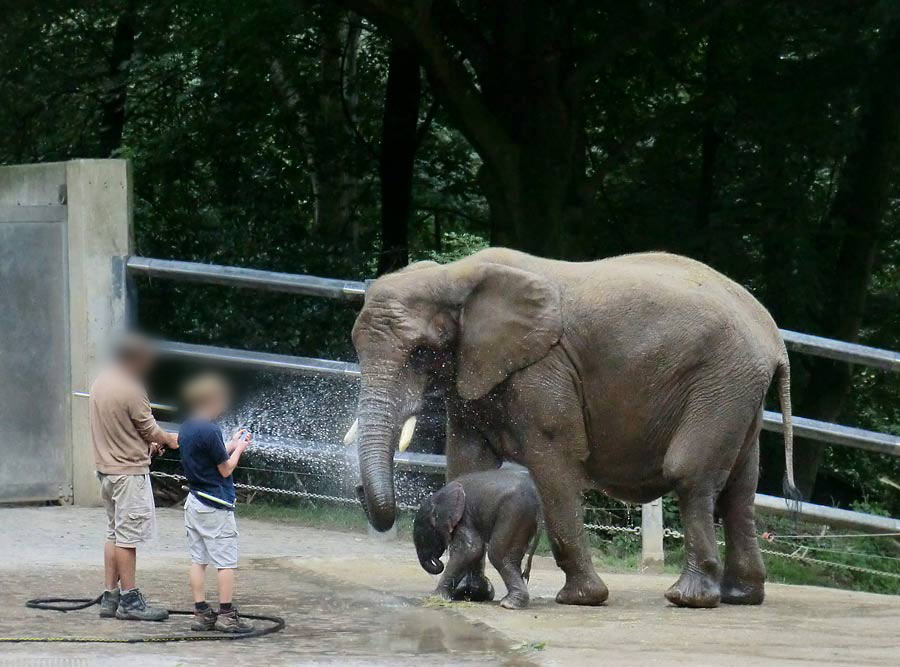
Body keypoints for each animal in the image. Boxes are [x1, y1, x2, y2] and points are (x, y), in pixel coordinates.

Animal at [414, 470, 540, 612]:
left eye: (423, 536)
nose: (438, 560)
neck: (437, 497)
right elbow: (475, 550)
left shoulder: (463, 516)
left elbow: (470, 549)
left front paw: (435, 597)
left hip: (514, 512)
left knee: (498, 554)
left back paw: (509, 604)